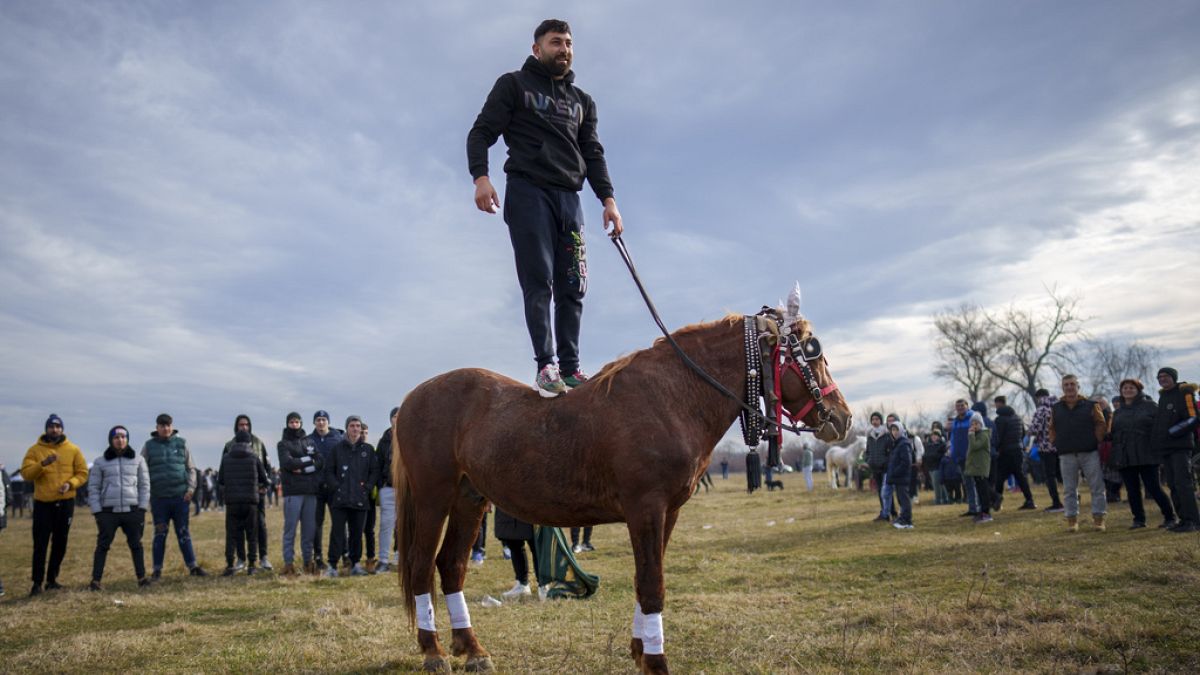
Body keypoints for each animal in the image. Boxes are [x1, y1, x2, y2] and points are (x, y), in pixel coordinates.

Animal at [390, 304, 852, 674]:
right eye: (811, 351)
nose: (842, 417)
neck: (673, 397)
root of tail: (413, 397)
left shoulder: (669, 512)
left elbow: (647, 580)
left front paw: (641, 650)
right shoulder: (645, 508)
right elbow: (652, 584)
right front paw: (656, 661)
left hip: (469, 499)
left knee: (451, 565)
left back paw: (471, 648)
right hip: (433, 497)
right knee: (420, 565)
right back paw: (433, 651)